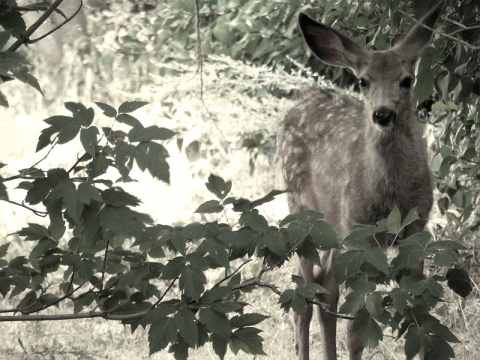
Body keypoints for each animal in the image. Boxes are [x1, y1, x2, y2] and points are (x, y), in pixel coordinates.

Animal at [278, 2, 446, 360]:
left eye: (407, 80)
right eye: (363, 81)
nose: (382, 114)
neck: (390, 198)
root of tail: (296, 106)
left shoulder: (417, 228)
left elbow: (420, 311)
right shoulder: (358, 232)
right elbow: (356, 331)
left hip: (333, 230)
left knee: (325, 289)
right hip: (301, 209)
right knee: (304, 295)